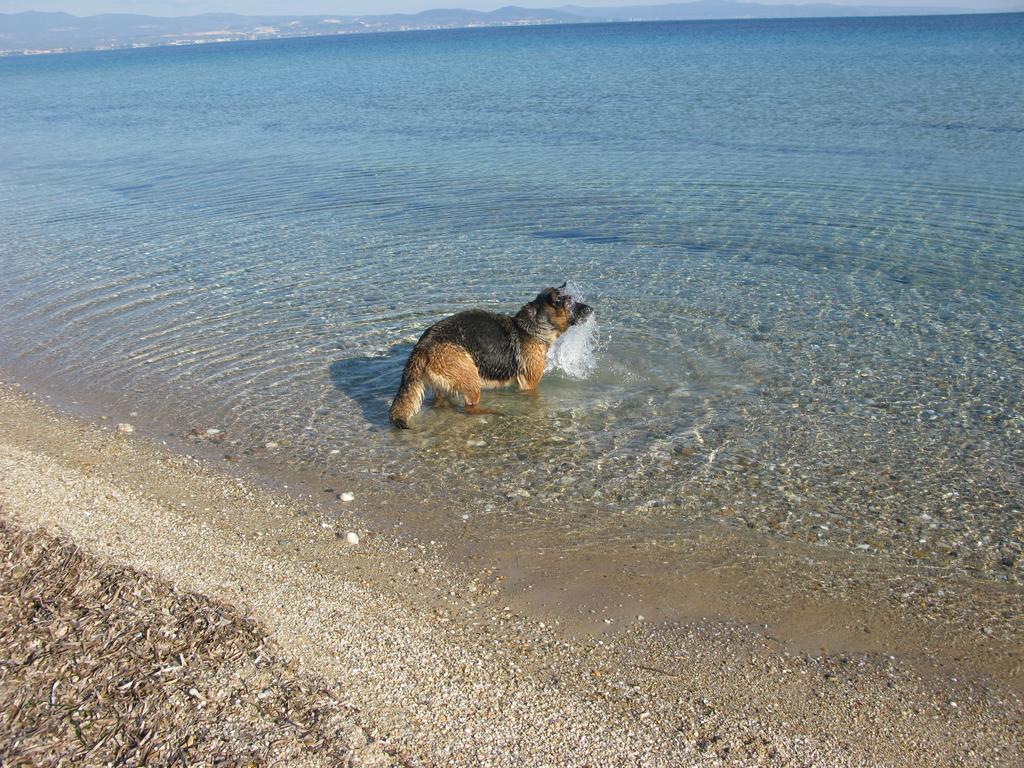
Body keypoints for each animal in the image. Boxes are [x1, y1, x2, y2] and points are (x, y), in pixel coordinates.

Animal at [385, 284, 593, 430]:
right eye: (570, 303)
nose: (591, 309)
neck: (532, 327)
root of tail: (423, 345)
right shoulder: (530, 385)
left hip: (442, 386)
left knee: (439, 402)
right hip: (470, 376)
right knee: (469, 407)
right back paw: (492, 411)